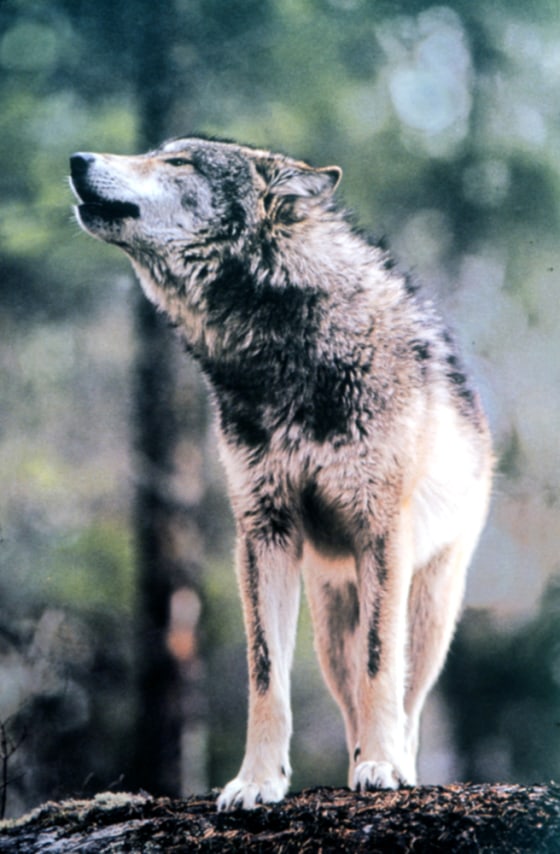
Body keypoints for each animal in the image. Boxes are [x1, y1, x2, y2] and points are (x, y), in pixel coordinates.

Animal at [70, 136, 492, 811]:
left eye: (179, 162)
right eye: (157, 153)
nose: (77, 159)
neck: (280, 349)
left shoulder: (380, 532)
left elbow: (381, 668)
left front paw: (383, 766)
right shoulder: (263, 532)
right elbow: (266, 677)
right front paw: (258, 781)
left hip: (427, 611)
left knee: (405, 697)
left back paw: (392, 761)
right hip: (330, 626)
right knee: (349, 696)